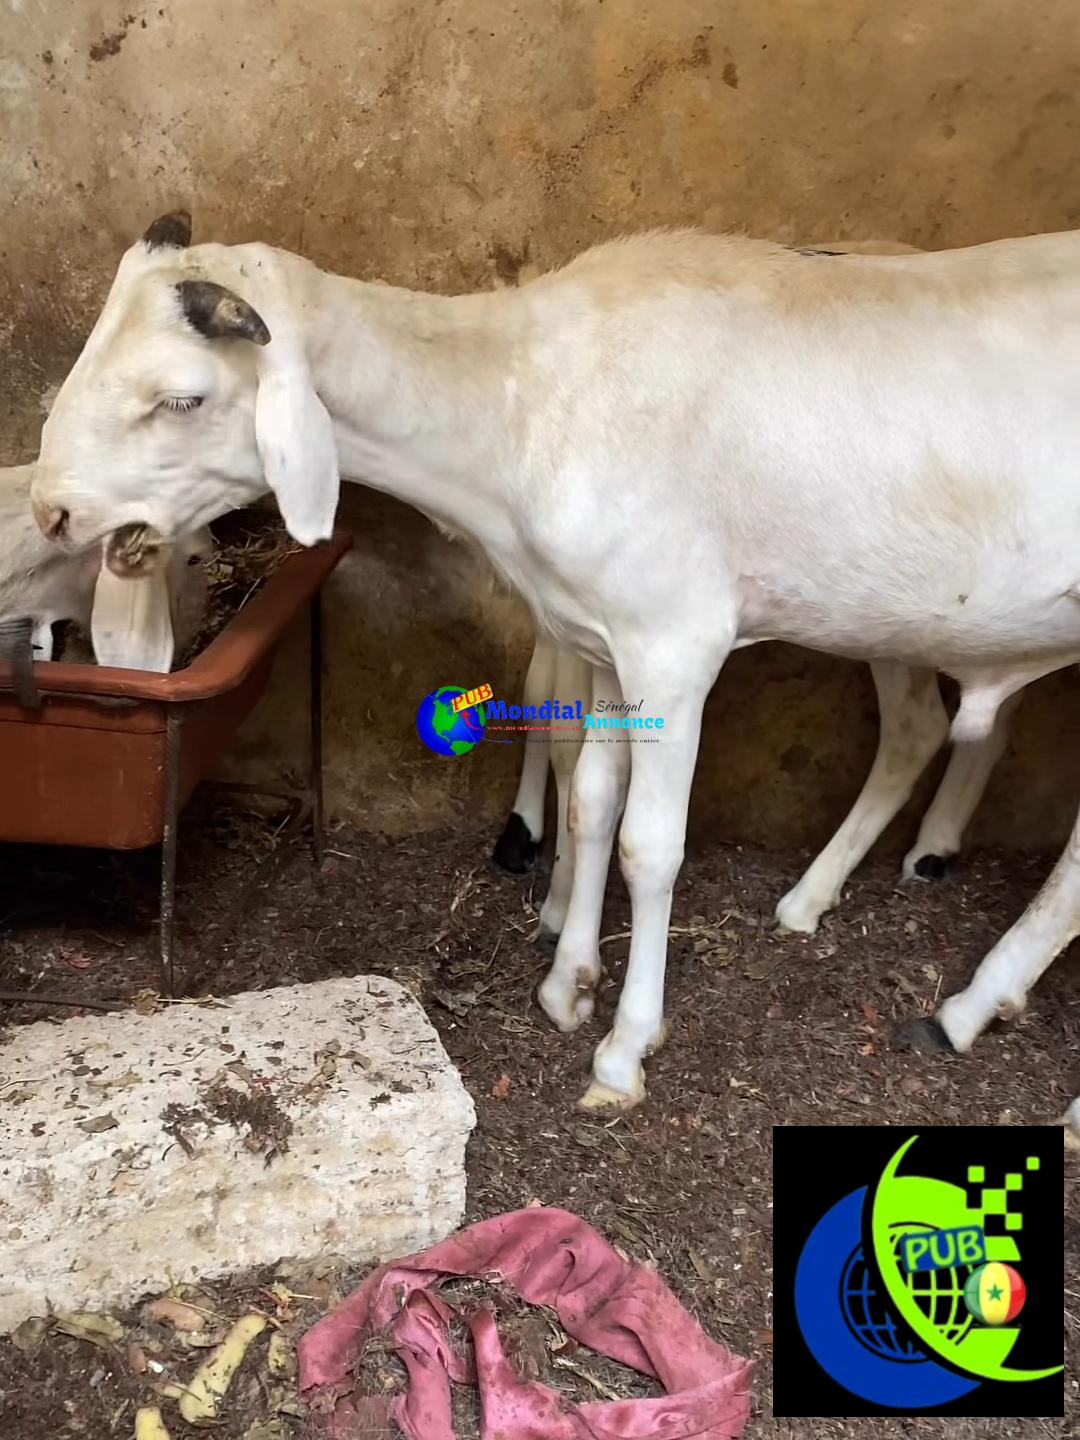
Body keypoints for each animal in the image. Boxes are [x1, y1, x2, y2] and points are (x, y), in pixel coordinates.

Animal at [30, 212, 1080, 1127]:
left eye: (183, 398)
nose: (50, 510)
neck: (516, 398)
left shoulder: (674, 640)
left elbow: (650, 844)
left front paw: (623, 1049)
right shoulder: (604, 636)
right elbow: (592, 798)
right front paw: (567, 980)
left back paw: (985, 1022)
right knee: (925, 736)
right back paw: (865, 928)